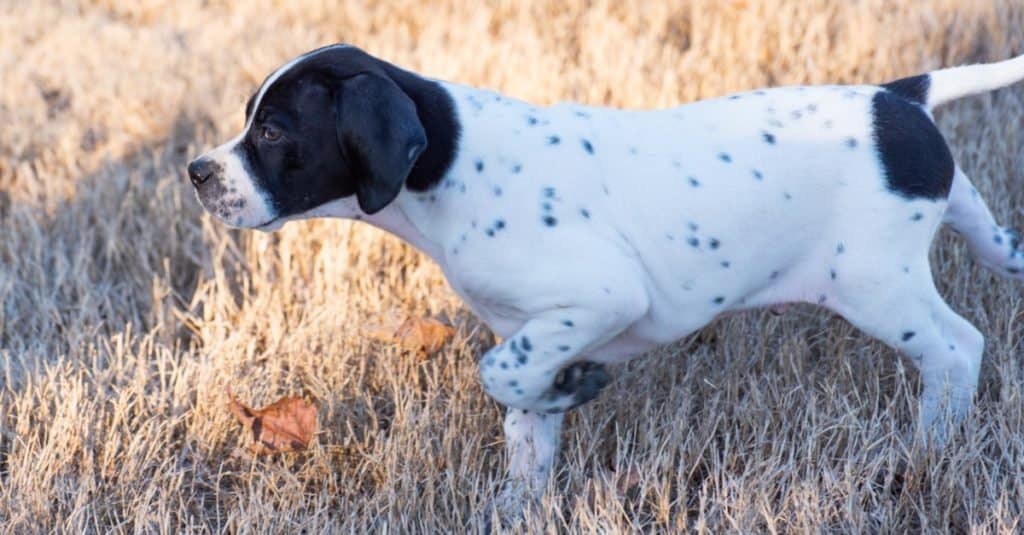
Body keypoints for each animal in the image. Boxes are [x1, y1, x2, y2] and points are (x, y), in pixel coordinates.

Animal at [190, 43, 1024, 506]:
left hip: (876, 285)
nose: (197, 171)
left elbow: (498, 374)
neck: (454, 166)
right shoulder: (536, 331)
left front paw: (573, 389)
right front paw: (516, 499)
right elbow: (524, 421)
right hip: (977, 231)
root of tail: (897, 100)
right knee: (1004, 255)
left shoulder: (598, 298)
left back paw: (929, 449)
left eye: (273, 132)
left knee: (957, 348)